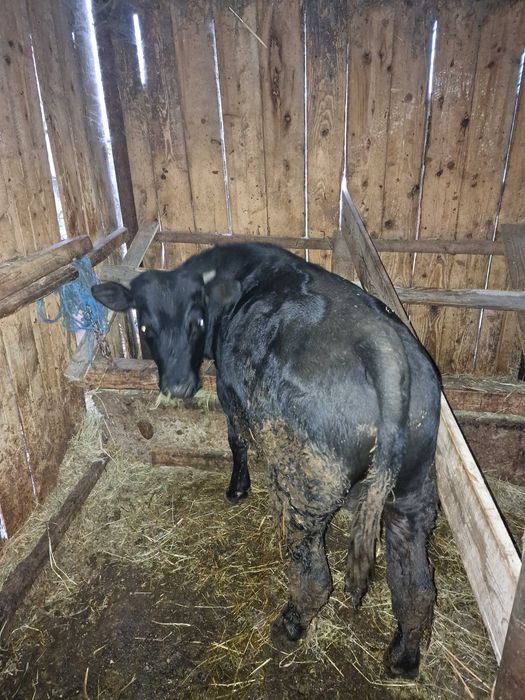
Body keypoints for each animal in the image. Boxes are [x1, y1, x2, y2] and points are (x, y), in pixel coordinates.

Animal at [92, 243, 440, 679]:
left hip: (309, 490)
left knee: (314, 579)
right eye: (145, 327)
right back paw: (403, 656)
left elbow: (236, 440)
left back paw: (289, 625)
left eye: (196, 321)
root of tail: (382, 345)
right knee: (416, 588)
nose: (178, 386)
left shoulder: (229, 392)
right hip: (412, 493)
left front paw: (238, 487)